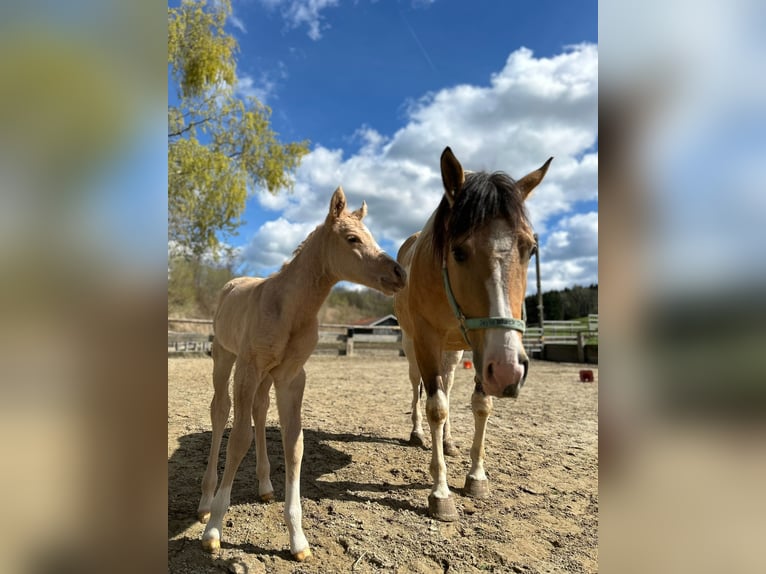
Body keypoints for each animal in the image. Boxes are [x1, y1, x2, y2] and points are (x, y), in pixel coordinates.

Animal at [201, 188, 412, 564]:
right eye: (352, 238)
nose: (400, 273)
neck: (288, 308)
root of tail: (231, 285)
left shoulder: (291, 377)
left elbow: (294, 444)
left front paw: (298, 540)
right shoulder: (248, 368)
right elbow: (238, 438)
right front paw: (213, 531)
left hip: (266, 376)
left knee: (259, 410)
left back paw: (265, 487)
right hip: (225, 358)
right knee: (220, 412)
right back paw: (204, 503)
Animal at [396, 147, 552, 520]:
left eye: (531, 249)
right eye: (458, 251)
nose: (509, 370)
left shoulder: (483, 352)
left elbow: (480, 405)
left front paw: (476, 477)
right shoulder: (426, 341)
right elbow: (435, 407)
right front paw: (440, 493)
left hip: (454, 352)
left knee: (450, 387)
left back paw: (449, 441)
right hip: (413, 346)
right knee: (417, 389)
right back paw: (417, 433)